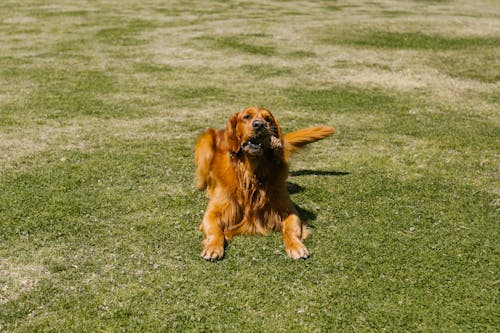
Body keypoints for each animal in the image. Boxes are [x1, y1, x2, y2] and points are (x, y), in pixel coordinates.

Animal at [193, 106, 334, 260]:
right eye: (246, 117)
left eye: (268, 119)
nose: (260, 125)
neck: (251, 175)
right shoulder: (212, 213)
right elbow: (215, 231)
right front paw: (213, 247)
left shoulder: (289, 210)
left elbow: (291, 229)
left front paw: (296, 246)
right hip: (206, 144)